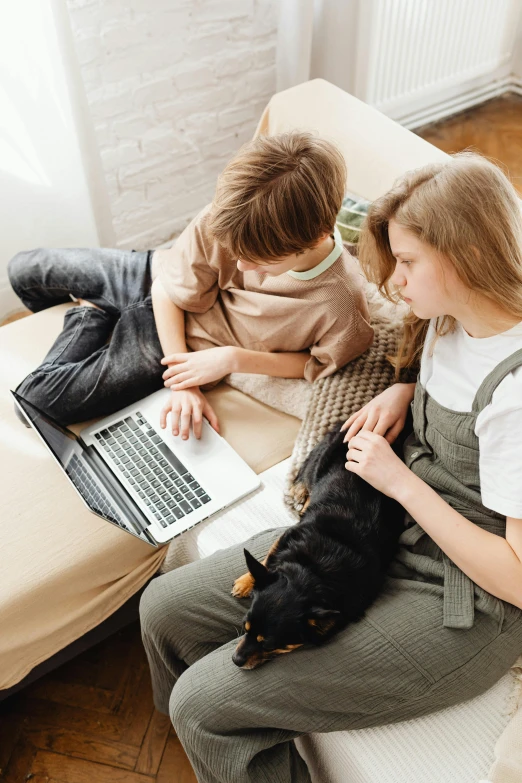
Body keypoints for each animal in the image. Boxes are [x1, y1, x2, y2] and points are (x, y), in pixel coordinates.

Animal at [230, 426, 404, 672]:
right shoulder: (287, 536)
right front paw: (247, 581)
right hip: (320, 461)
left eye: (269, 645)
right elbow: (266, 560)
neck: (312, 570)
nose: (235, 660)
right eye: (245, 627)